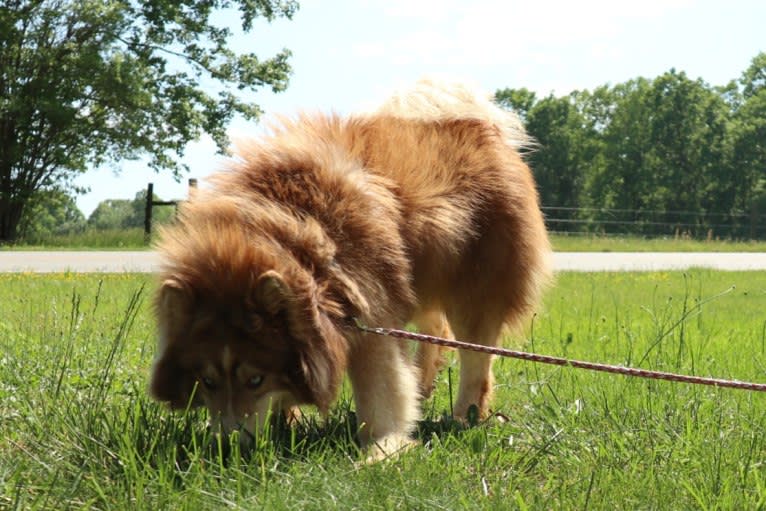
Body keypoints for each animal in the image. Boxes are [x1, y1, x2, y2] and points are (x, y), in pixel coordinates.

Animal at [150, 80, 556, 460]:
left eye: (255, 380)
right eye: (207, 381)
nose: (228, 448)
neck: (293, 238)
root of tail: (480, 125)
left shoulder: (370, 309)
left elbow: (381, 390)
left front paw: (382, 450)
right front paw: (288, 423)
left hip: (476, 289)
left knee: (476, 358)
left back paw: (464, 417)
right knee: (436, 330)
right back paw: (424, 388)